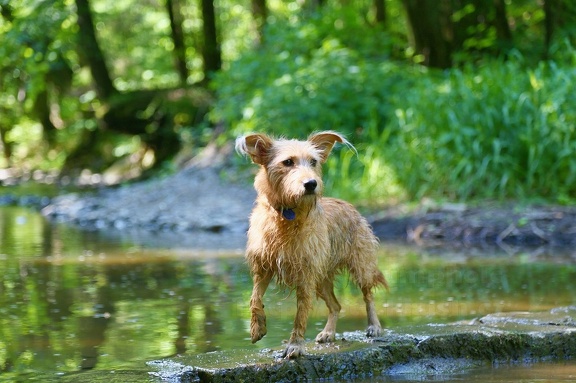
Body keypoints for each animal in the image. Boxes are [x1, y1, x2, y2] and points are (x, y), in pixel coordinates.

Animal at [234, 132, 388, 360]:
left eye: (314, 162)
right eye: (288, 162)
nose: (311, 184)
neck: (287, 216)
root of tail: (351, 206)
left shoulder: (305, 275)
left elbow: (301, 315)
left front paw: (295, 345)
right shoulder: (263, 266)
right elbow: (254, 298)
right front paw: (257, 328)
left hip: (360, 265)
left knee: (368, 295)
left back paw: (374, 326)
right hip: (321, 278)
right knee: (336, 305)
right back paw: (328, 333)